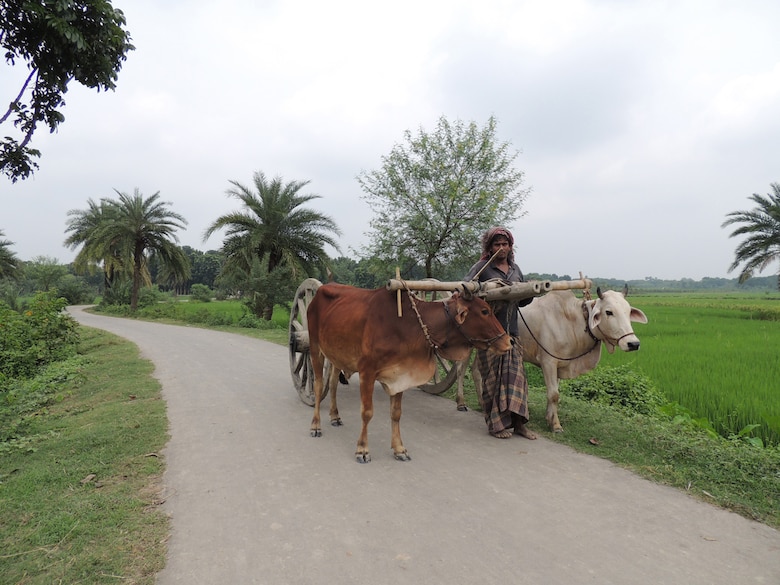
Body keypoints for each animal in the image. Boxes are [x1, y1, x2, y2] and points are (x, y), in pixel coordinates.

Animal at [308, 286, 516, 464]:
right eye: (484, 311)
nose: (509, 342)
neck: (407, 326)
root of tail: (320, 290)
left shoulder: (401, 375)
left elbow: (396, 413)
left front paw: (399, 449)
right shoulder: (367, 372)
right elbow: (367, 413)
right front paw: (362, 450)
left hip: (336, 357)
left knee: (333, 384)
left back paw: (335, 417)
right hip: (315, 348)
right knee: (318, 386)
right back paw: (316, 426)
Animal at [458, 286, 644, 432]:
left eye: (628, 311)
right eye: (609, 312)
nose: (633, 343)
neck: (573, 321)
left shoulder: (560, 363)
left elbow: (555, 393)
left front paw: (549, 417)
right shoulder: (548, 362)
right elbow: (553, 394)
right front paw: (555, 425)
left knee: (475, 371)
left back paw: (482, 403)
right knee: (460, 370)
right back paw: (461, 402)